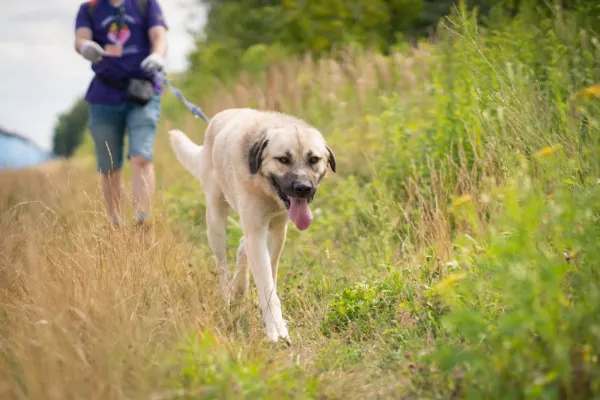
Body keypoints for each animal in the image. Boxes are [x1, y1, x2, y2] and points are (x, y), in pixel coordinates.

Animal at [169, 108, 336, 342]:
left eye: (313, 159)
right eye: (283, 159)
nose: (303, 188)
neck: (265, 189)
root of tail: (218, 118)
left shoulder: (277, 231)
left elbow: (270, 275)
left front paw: (270, 318)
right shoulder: (256, 231)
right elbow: (266, 284)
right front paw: (276, 329)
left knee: (243, 246)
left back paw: (239, 288)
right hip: (215, 220)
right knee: (222, 265)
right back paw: (227, 297)